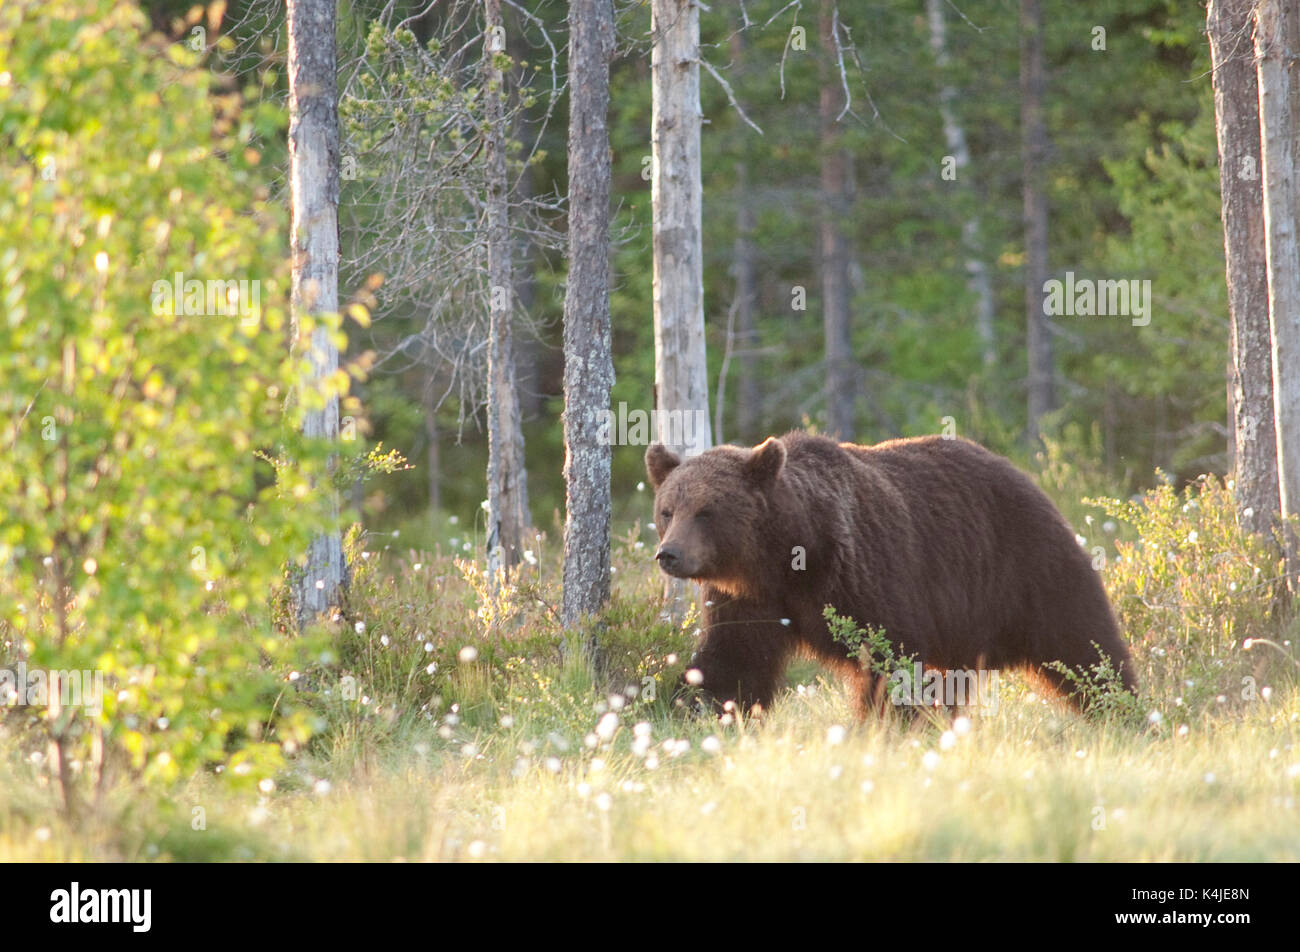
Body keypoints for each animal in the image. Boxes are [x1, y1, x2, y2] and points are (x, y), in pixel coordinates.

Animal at [644, 431, 1133, 712]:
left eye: (706, 511)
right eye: (667, 510)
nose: (669, 555)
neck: (786, 558)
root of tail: (1026, 475)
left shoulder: (866, 575)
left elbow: (889, 658)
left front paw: (881, 725)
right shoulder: (747, 599)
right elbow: (731, 663)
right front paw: (702, 709)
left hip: (1027, 566)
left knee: (1084, 644)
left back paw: (1122, 709)